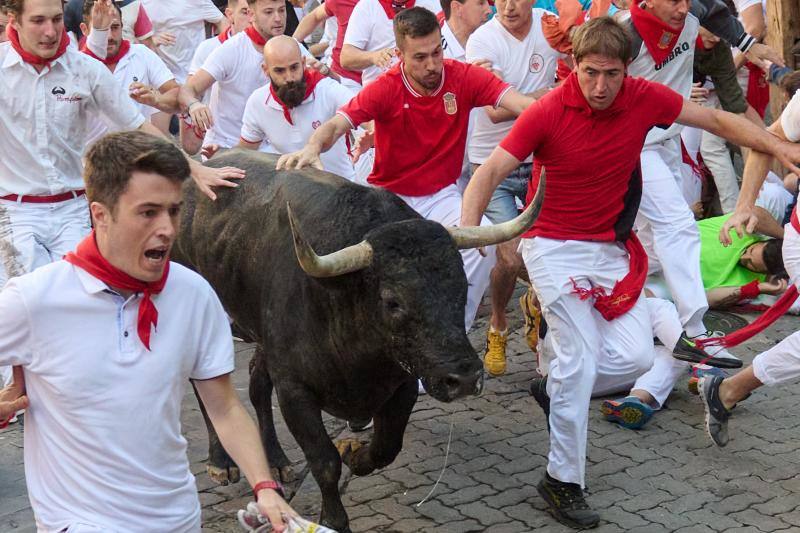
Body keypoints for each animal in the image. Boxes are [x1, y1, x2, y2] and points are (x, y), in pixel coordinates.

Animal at [171, 151, 540, 532]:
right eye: (392, 301)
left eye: (463, 285)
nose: (464, 378)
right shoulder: (294, 390)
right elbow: (324, 461)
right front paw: (335, 518)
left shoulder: (403, 382)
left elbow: (386, 446)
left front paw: (356, 455)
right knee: (206, 389)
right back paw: (221, 461)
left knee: (257, 383)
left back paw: (275, 459)